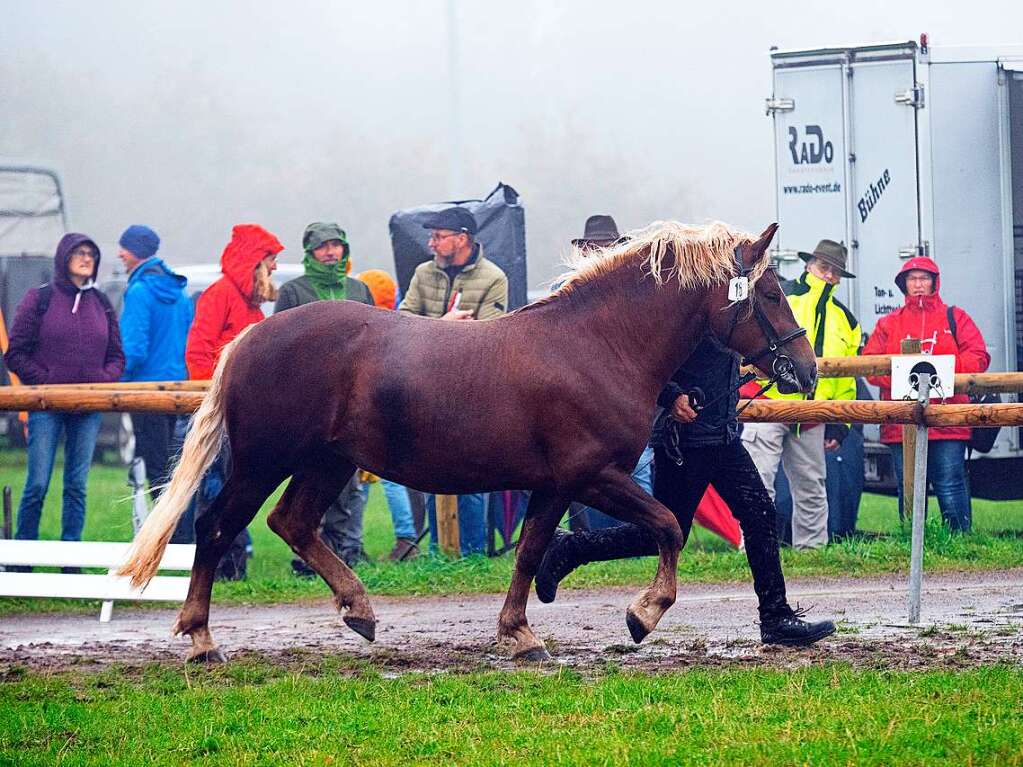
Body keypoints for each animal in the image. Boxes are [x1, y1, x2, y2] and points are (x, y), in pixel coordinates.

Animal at [119, 218, 814, 662]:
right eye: (770, 292)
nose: (805, 371)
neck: (596, 344)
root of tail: (251, 338)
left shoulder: (553, 485)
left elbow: (532, 551)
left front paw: (519, 634)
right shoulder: (591, 476)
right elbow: (668, 525)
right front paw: (642, 614)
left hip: (327, 463)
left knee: (292, 523)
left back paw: (359, 610)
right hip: (265, 462)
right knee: (215, 528)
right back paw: (202, 640)